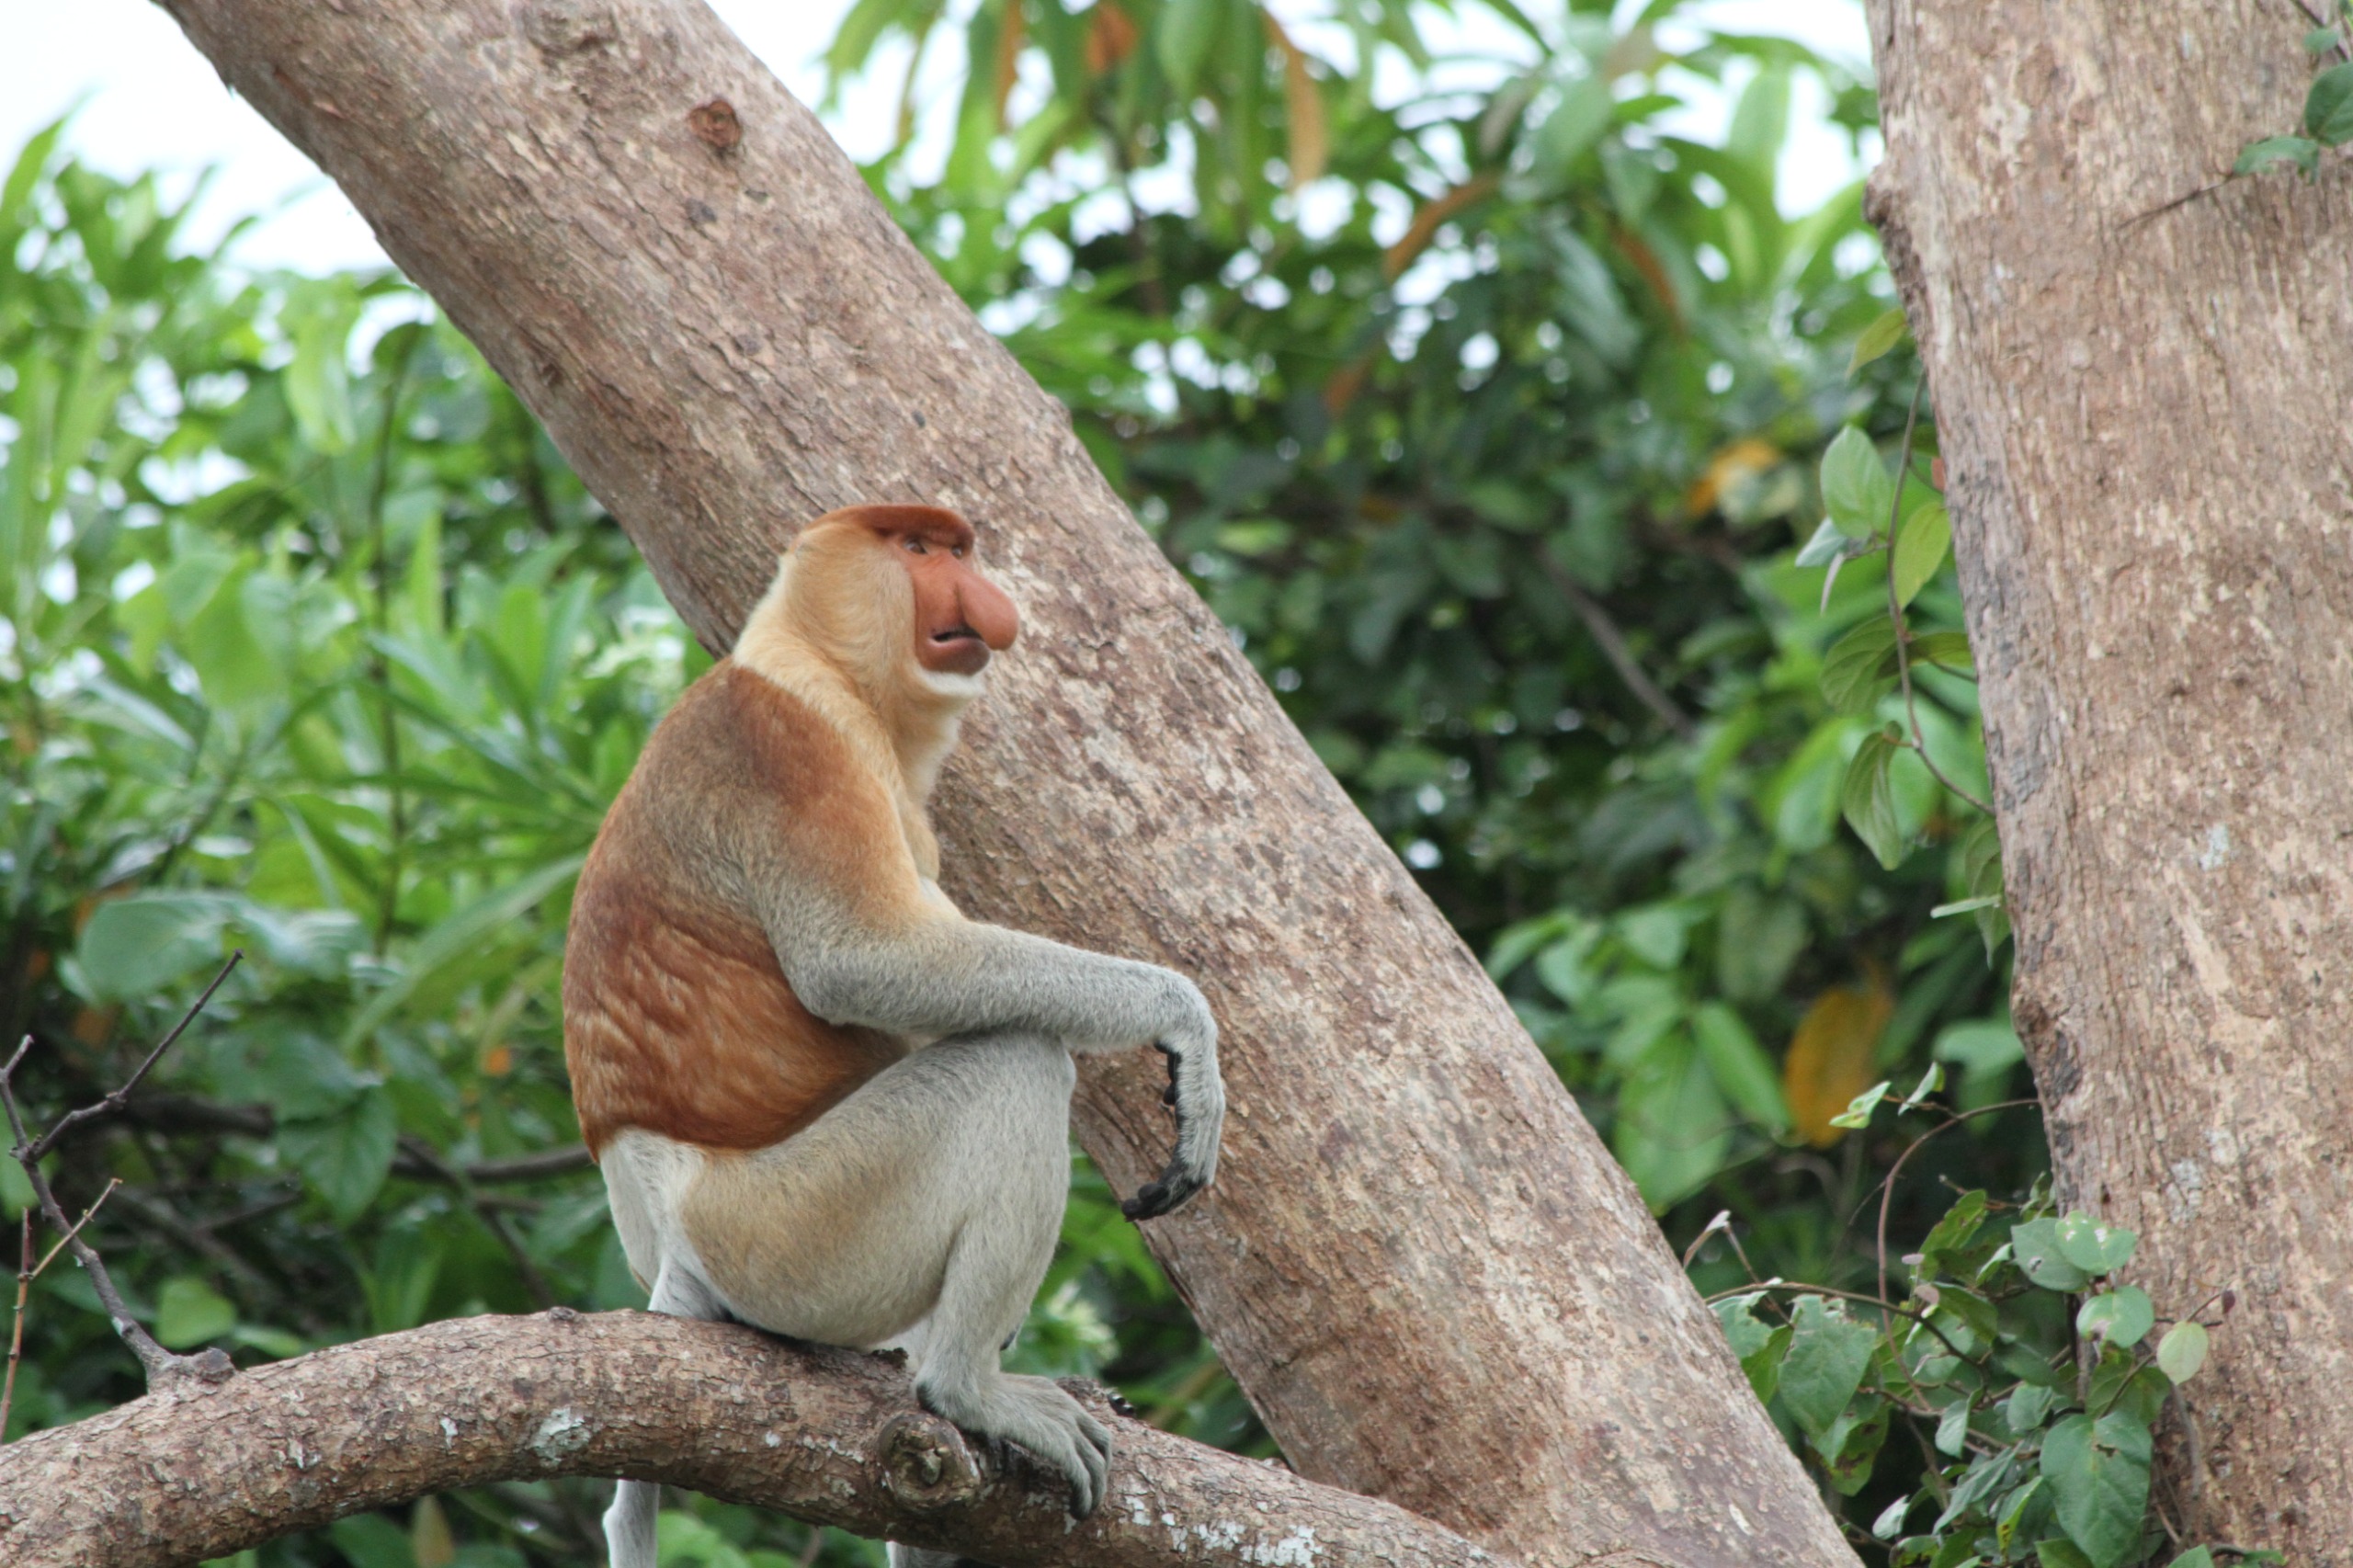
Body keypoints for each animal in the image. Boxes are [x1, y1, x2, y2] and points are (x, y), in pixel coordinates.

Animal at [560, 501, 1223, 1562]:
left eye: (959, 548)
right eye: (917, 549)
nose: (984, 598)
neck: (822, 668)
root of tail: (660, 1232)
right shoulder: (789, 746)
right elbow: (866, 958)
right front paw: (1187, 1034)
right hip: (789, 1231)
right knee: (1014, 1063)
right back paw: (967, 1389)